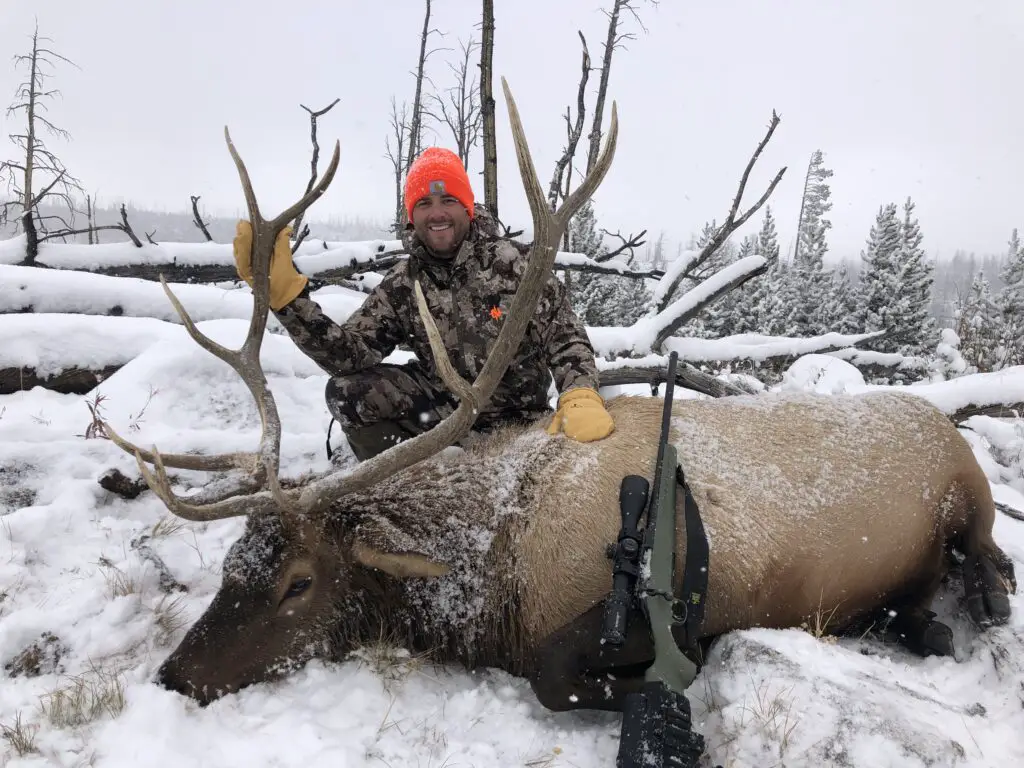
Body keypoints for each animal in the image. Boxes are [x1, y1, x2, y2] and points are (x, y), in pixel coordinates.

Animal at [99, 79, 1011, 757]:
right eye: (231, 565)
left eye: (297, 582)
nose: (175, 676)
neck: (493, 571)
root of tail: (945, 425)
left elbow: (558, 673)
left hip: (970, 489)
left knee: (987, 559)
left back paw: (962, 605)